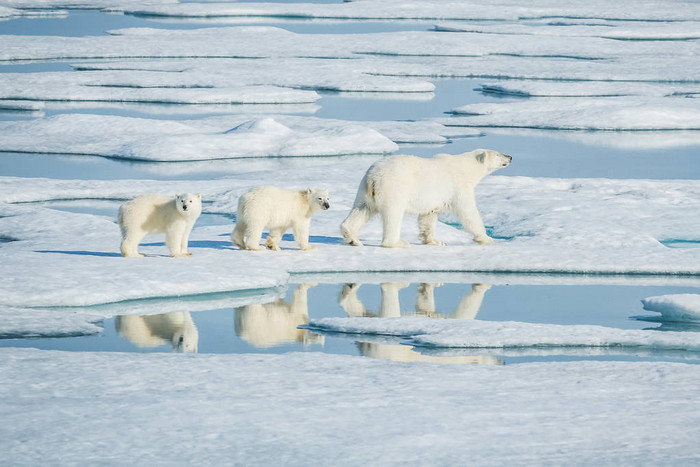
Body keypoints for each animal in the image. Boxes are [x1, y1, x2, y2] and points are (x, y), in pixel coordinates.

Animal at [342, 149, 512, 249]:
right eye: (498, 154)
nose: (510, 156)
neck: (466, 167)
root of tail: (374, 176)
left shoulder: (434, 199)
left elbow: (428, 217)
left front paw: (435, 241)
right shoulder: (458, 187)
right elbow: (468, 212)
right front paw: (486, 238)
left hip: (365, 190)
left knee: (362, 209)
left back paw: (352, 238)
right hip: (394, 187)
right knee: (393, 214)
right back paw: (398, 243)